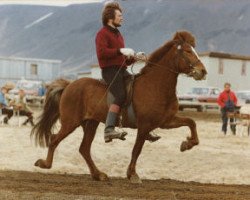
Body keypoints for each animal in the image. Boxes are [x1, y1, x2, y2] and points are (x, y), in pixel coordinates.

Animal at [31, 30, 207, 183]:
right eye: (187, 51)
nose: (203, 71)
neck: (155, 85)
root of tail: (68, 85)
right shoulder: (144, 126)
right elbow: (136, 150)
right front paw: (132, 175)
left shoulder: (165, 121)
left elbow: (191, 122)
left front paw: (188, 144)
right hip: (70, 122)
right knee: (55, 139)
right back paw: (45, 164)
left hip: (91, 123)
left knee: (84, 148)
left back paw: (98, 174)